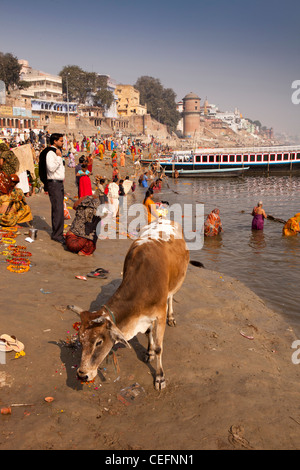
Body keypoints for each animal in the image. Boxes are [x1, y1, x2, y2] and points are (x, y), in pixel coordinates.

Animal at [69, 220, 189, 390]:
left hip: (177, 282)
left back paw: (171, 317)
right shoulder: (144, 315)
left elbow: (159, 348)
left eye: (99, 342)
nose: (82, 374)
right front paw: (149, 352)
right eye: (80, 339)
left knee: (171, 297)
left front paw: (160, 377)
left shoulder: (159, 314)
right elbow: (148, 333)